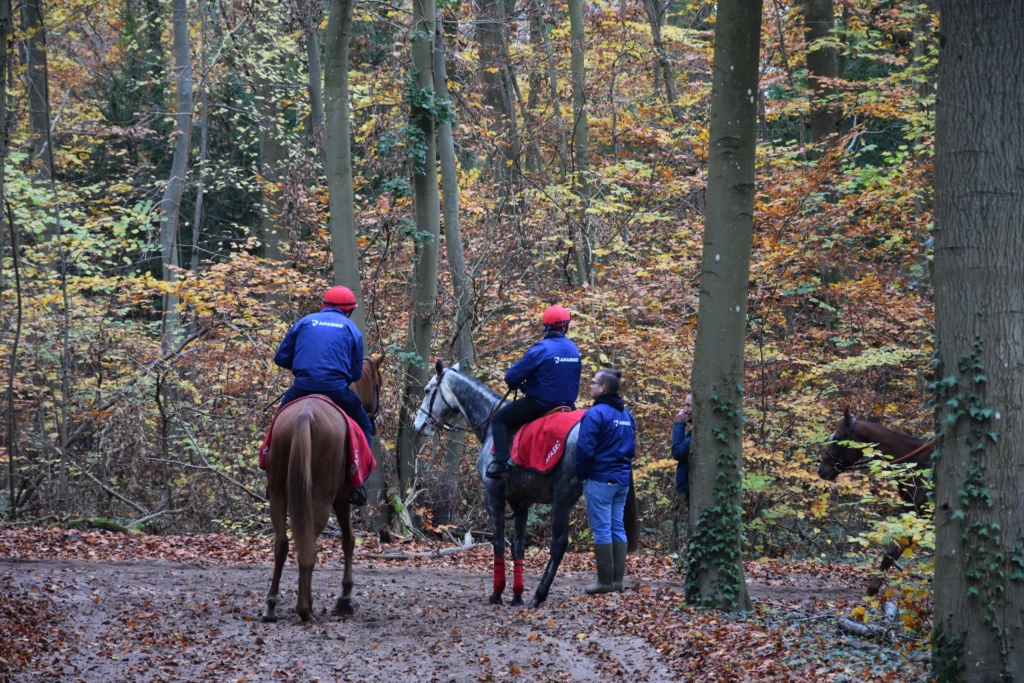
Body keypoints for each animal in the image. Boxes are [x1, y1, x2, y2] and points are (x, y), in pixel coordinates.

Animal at [264, 356, 387, 622]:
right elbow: (348, 540)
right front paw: (345, 599)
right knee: (308, 545)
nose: (376, 421)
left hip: (278, 494)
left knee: (283, 544)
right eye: (378, 386)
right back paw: (305, 608)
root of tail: (305, 414)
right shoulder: (342, 499)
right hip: (321, 499)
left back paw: (272, 605)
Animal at [411, 362, 634, 610]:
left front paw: (497, 593)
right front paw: (517, 595)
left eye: (428, 390)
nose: (418, 425)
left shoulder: (493, 496)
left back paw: (539, 595)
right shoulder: (521, 502)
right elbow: (517, 546)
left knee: (559, 544)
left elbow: (498, 543)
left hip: (563, 498)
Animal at [815, 409, 937, 593]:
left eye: (838, 438)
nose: (821, 470)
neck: (917, 464)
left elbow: (891, 554)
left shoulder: (920, 519)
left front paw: (872, 588)